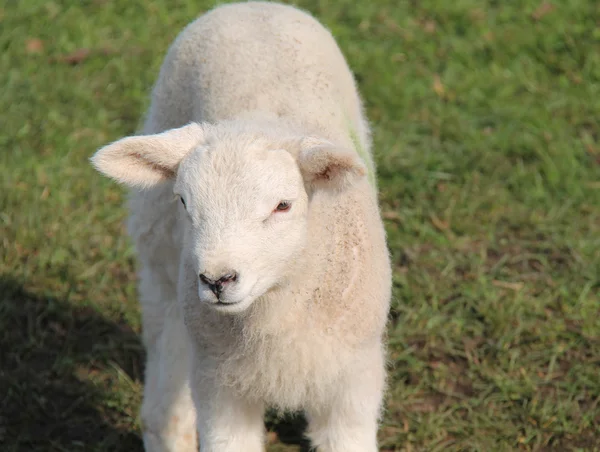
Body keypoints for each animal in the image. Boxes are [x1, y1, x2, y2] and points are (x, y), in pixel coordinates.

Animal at [88, 1, 390, 450]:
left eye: (282, 205)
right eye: (184, 201)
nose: (217, 279)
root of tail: (250, 6)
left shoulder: (352, 382)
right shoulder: (221, 384)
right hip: (162, 263)